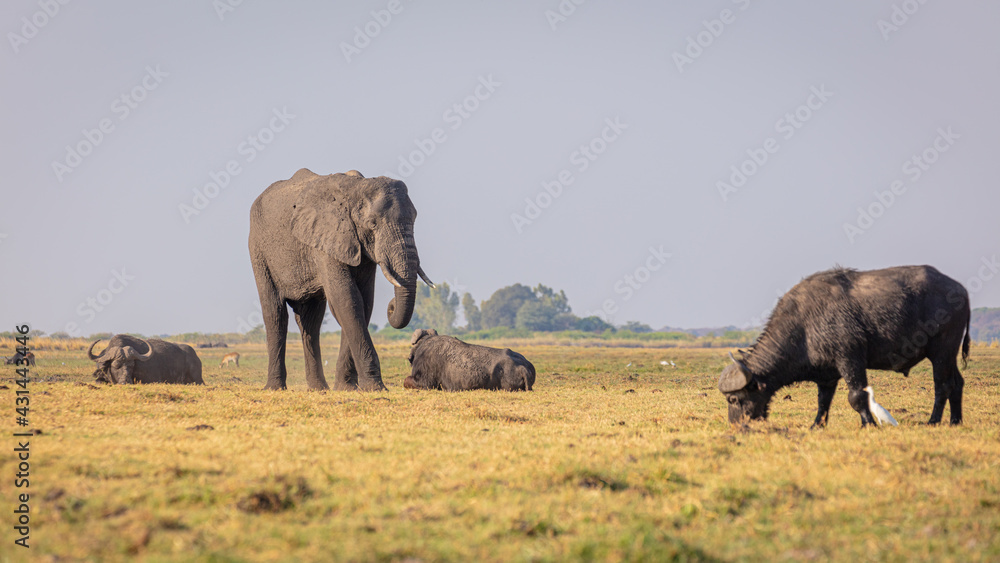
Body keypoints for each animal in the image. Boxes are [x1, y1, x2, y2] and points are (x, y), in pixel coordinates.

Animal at [248, 167, 432, 392]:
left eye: (414, 219)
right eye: (372, 224)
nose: (391, 305)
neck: (354, 190)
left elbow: (363, 302)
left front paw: (347, 388)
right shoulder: (326, 240)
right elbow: (347, 299)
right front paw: (375, 387)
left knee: (311, 320)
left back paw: (318, 389)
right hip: (259, 251)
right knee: (275, 314)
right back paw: (275, 388)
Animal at [720, 266, 968, 430]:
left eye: (734, 400)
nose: (736, 425)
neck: (803, 325)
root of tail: (961, 290)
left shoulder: (849, 359)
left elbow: (857, 395)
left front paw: (868, 424)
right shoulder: (826, 375)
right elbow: (823, 402)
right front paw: (816, 426)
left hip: (942, 351)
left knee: (943, 385)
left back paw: (933, 421)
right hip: (950, 355)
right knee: (957, 383)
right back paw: (955, 421)